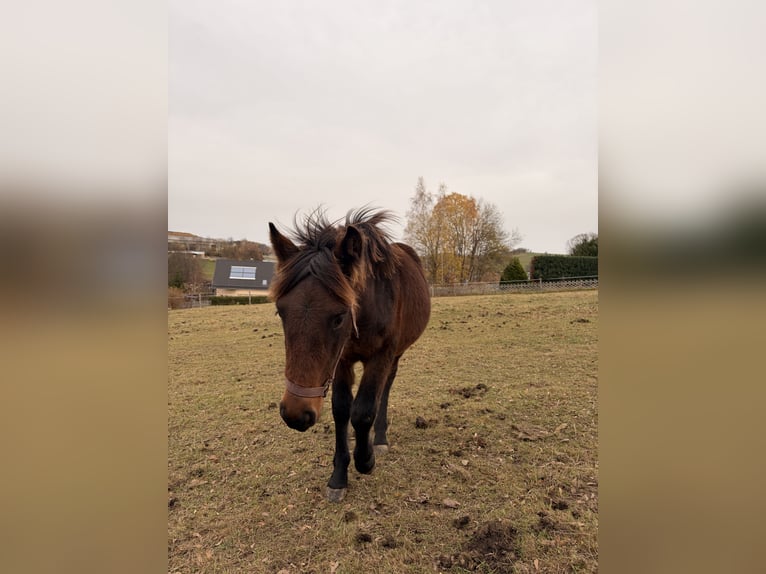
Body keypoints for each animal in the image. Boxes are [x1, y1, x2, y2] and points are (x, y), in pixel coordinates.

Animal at [268, 207, 431, 502]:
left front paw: (365, 460)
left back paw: (379, 439)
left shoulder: (381, 356)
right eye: (280, 312)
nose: (295, 414)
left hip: (395, 355)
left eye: (339, 317)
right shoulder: (342, 360)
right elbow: (342, 410)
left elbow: (363, 411)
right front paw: (338, 475)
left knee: (385, 389)